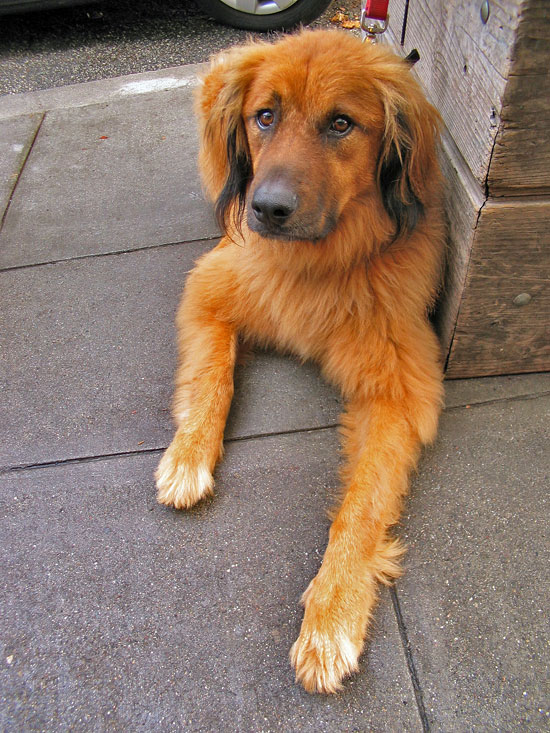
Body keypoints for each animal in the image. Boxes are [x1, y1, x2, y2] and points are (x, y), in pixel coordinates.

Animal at [156, 28, 448, 692]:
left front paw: (332, 613)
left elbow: (361, 507)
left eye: (341, 123)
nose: (266, 208)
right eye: (265, 116)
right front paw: (188, 455)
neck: (318, 265)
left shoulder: (400, 388)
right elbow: (212, 379)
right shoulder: (211, 285)